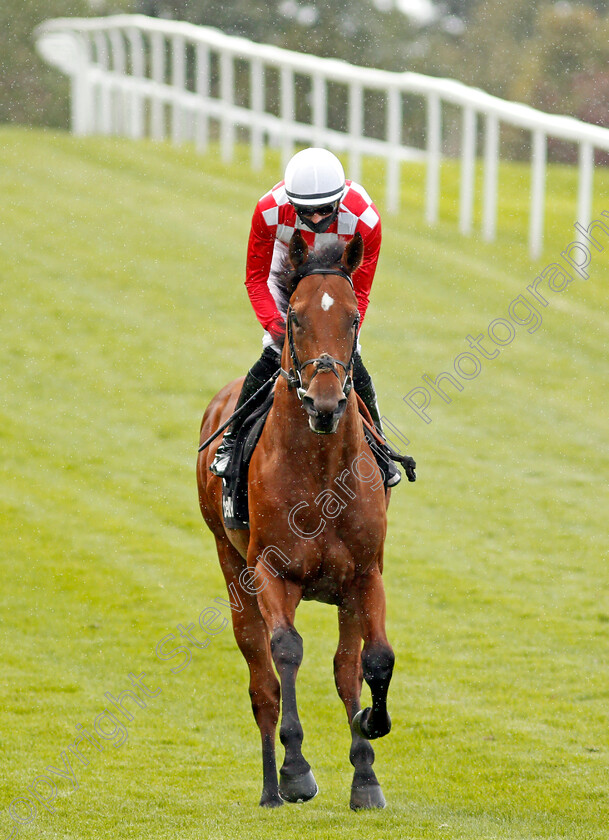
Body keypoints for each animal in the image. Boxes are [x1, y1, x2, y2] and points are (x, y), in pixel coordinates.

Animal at [197, 228, 392, 808]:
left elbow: (372, 661)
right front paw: (297, 769)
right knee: (262, 679)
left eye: (352, 317)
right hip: (232, 568)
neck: (321, 470)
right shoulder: (271, 571)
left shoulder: (364, 573)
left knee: (344, 668)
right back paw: (271, 787)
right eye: (296, 318)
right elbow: (286, 652)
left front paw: (369, 747)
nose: (326, 403)